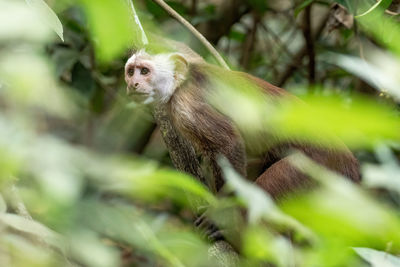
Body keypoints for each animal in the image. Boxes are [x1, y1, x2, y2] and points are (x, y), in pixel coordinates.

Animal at [123, 49, 360, 200]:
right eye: (131, 71)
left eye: (145, 71)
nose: (133, 83)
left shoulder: (187, 104)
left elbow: (229, 143)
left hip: (321, 164)